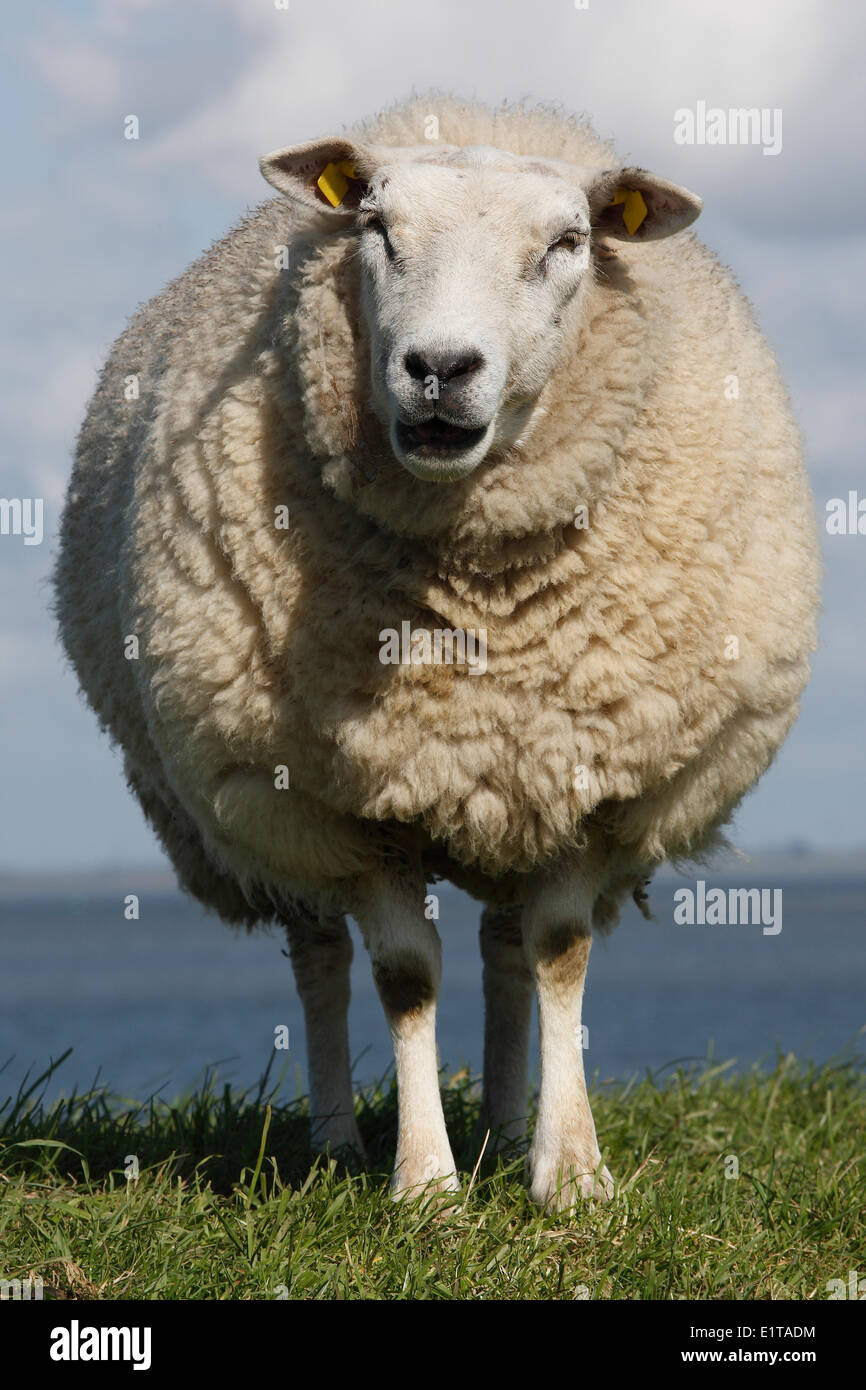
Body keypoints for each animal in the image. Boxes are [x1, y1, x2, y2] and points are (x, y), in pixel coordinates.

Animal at [54, 95, 820, 1211]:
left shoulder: (585, 771)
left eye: (567, 243)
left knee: (505, 951)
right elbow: (404, 974)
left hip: (507, 784)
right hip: (267, 813)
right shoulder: (345, 801)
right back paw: (336, 1142)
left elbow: (557, 950)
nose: (440, 370)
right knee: (319, 957)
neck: (475, 596)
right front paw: (423, 1185)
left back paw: (503, 1124)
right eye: (376, 227)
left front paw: (569, 1173)